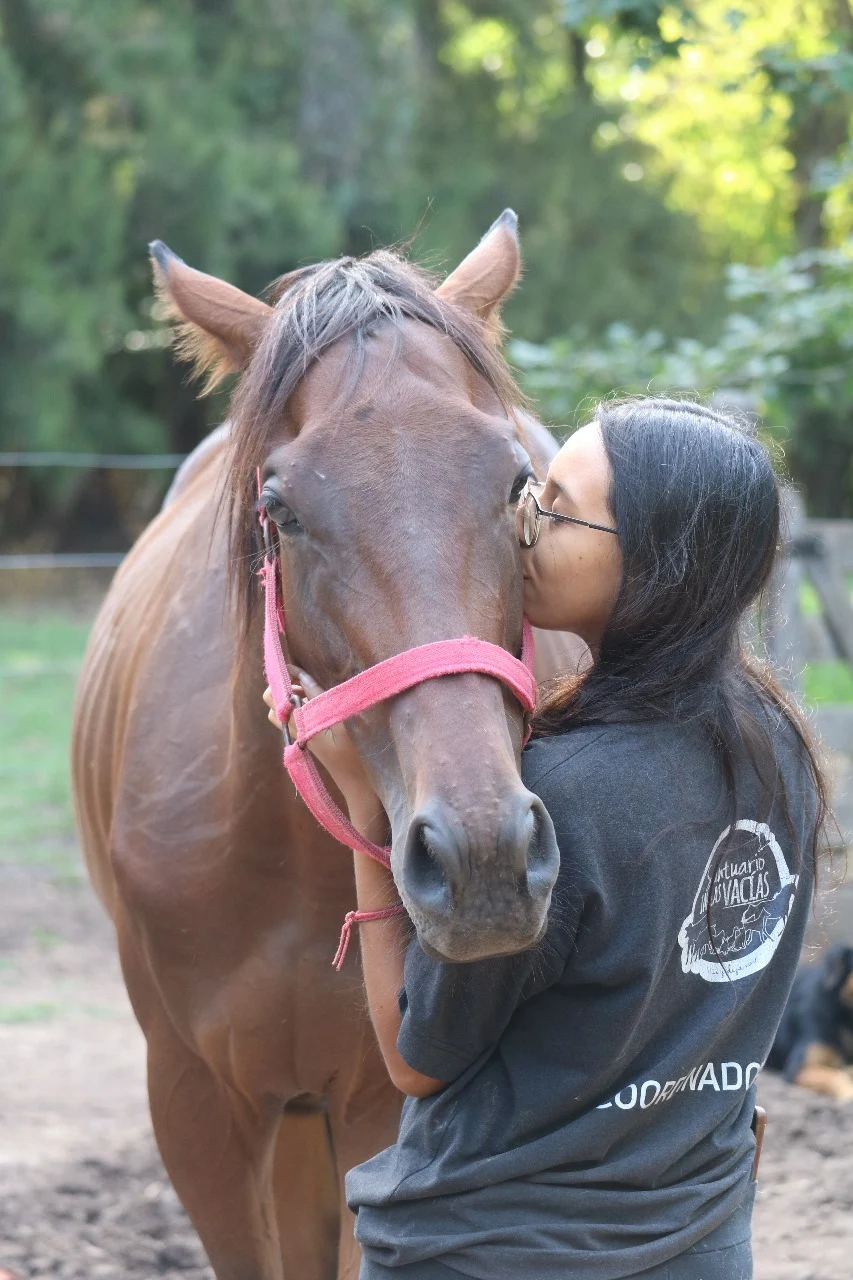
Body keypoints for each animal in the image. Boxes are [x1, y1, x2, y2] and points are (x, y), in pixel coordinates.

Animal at [71, 212, 584, 1280]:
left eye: (519, 484)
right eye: (282, 511)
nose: (482, 856)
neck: (281, 863)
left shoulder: (378, 1102)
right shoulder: (194, 1105)